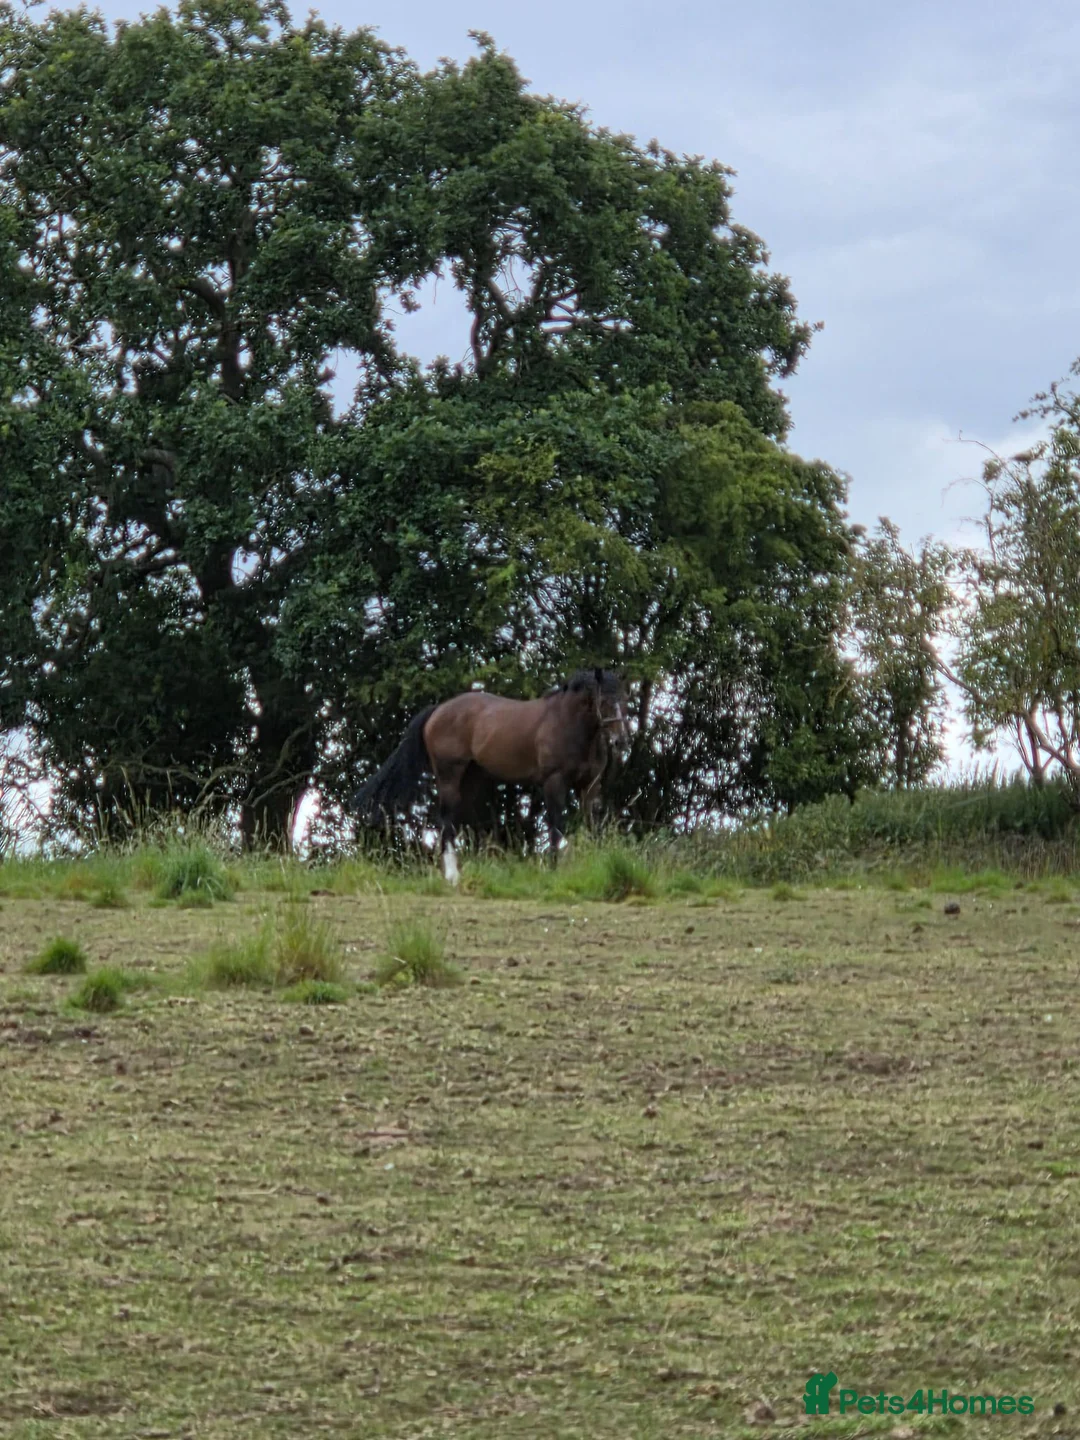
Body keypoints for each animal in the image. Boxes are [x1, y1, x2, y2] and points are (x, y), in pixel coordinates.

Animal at [351, 669, 631, 885]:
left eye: (624, 699)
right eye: (604, 701)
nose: (620, 741)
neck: (569, 725)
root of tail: (438, 710)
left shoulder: (590, 785)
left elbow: (592, 824)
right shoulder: (554, 782)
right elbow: (556, 826)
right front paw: (555, 869)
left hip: (471, 779)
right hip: (449, 775)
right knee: (446, 819)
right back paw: (452, 876)